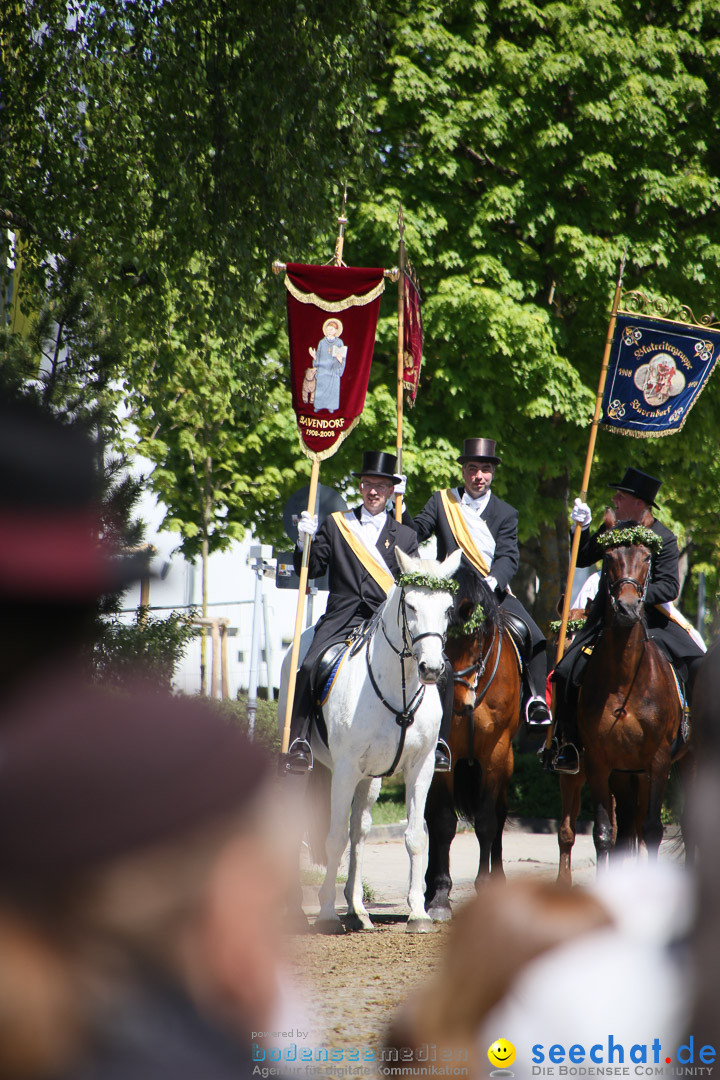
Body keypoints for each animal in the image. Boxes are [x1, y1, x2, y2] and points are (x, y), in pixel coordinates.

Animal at [278, 552, 459, 933]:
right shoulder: (345, 769)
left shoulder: (421, 768)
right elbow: (333, 839)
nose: (432, 669)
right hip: (307, 768)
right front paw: (327, 914)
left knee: (359, 830)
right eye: (410, 605)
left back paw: (357, 908)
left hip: (370, 778)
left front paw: (418, 913)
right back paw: (303, 911)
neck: (399, 686)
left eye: (449, 608)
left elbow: (416, 836)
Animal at [425, 565, 520, 920]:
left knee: (500, 812)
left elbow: (487, 822)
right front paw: (440, 897)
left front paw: (486, 888)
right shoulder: (444, 755)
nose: (457, 702)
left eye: (477, 636)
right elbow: (442, 822)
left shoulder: (496, 754)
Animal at [561, 514, 686, 885]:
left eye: (647, 557)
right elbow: (605, 833)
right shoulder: (599, 762)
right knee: (626, 829)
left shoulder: (658, 762)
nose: (628, 608)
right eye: (609, 556)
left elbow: (652, 831)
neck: (624, 677)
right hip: (624, 772)